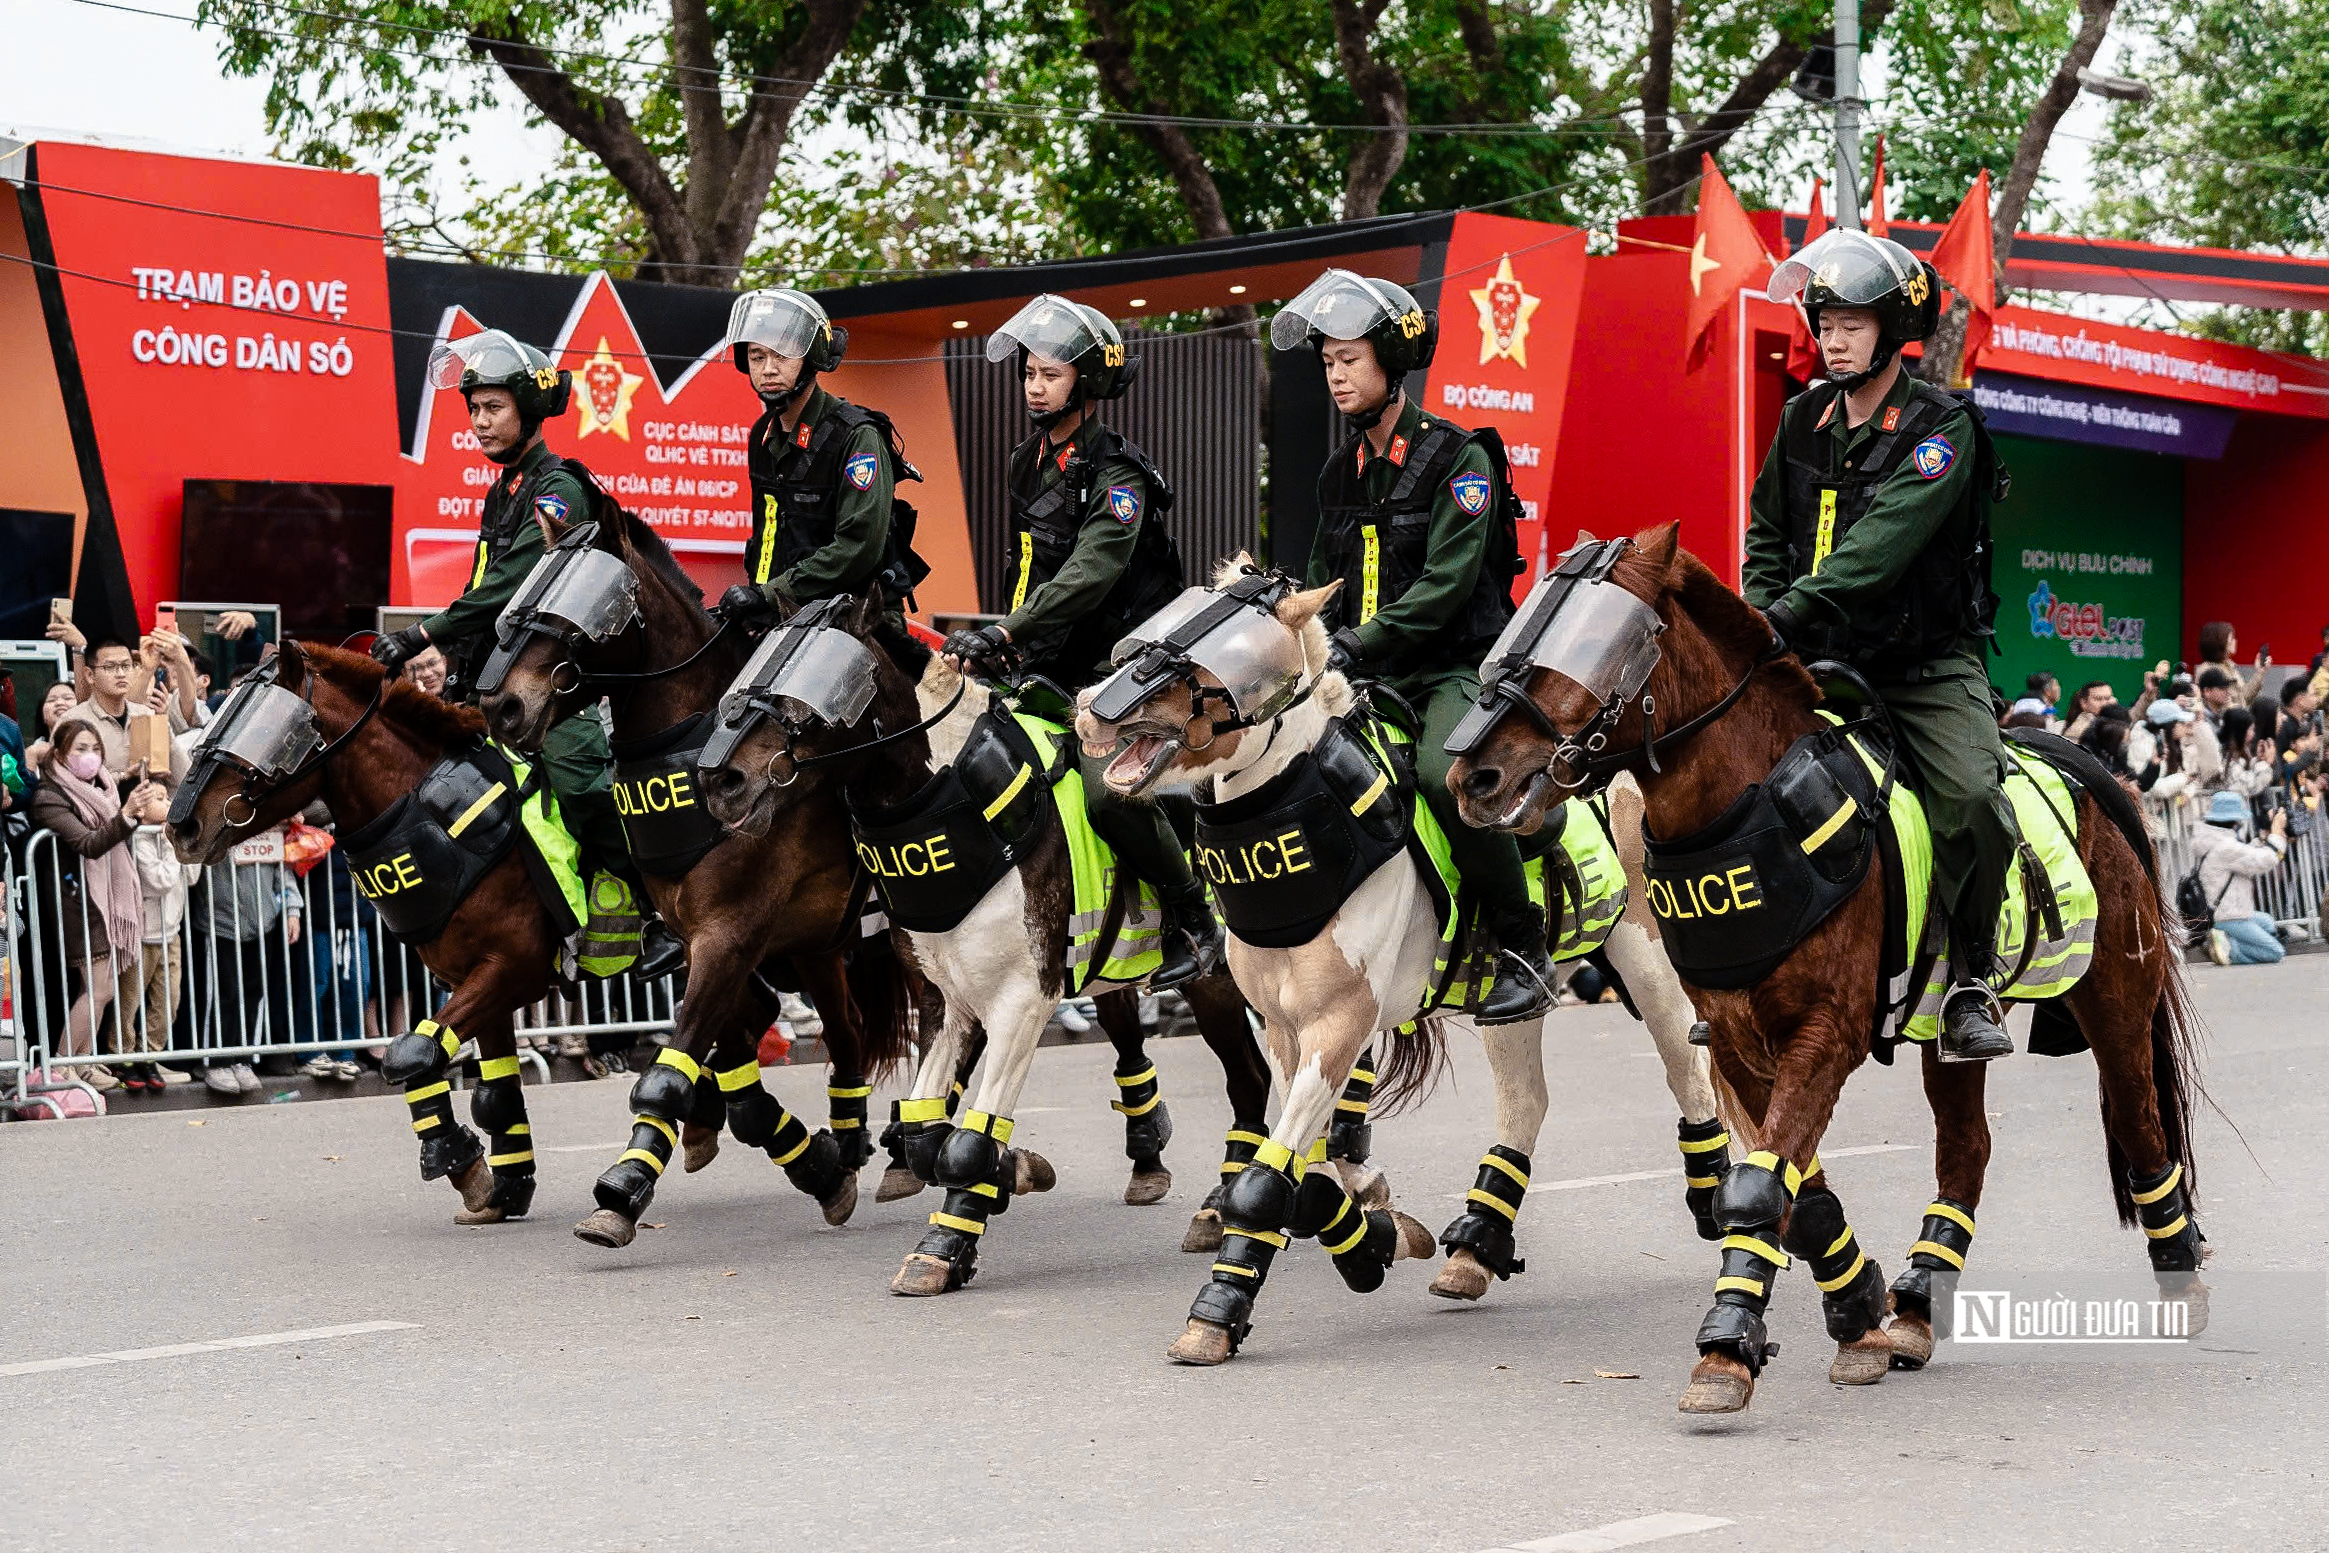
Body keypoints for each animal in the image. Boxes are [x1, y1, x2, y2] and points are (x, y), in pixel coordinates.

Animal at [168, 642, 563, 1229]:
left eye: (259, 729)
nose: (181, 828)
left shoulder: (513, 967)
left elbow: (412, 1053)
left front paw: (463, 1165)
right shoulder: (483, 982)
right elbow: (490, 1089)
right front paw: (501, 1188)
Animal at [472, 509, 908, 1247]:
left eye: (573, 602)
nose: (499, 705)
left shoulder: (729, 938)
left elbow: (671, 1074)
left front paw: (623, 1187)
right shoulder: (705, 942)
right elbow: (726, 1072)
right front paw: (806, 1159)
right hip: (817, 947)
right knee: (847, 1029)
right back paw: (847, 1142)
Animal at [1453, 528, 2198, 1415]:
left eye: (1596, 643)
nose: (1471, 774)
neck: (1748, 810)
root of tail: (2087, 766)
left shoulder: (1824, 1033)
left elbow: (1756, 1188)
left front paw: (1726, 1345)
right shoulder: (1737, 1041)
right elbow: (1791, 1191)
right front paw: (1855, 1311)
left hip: (2114, 1001)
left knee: (2139, 1124)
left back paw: (2181, 1277)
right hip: (1941, 1032)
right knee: (1967, 1145)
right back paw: (1917, 1299)